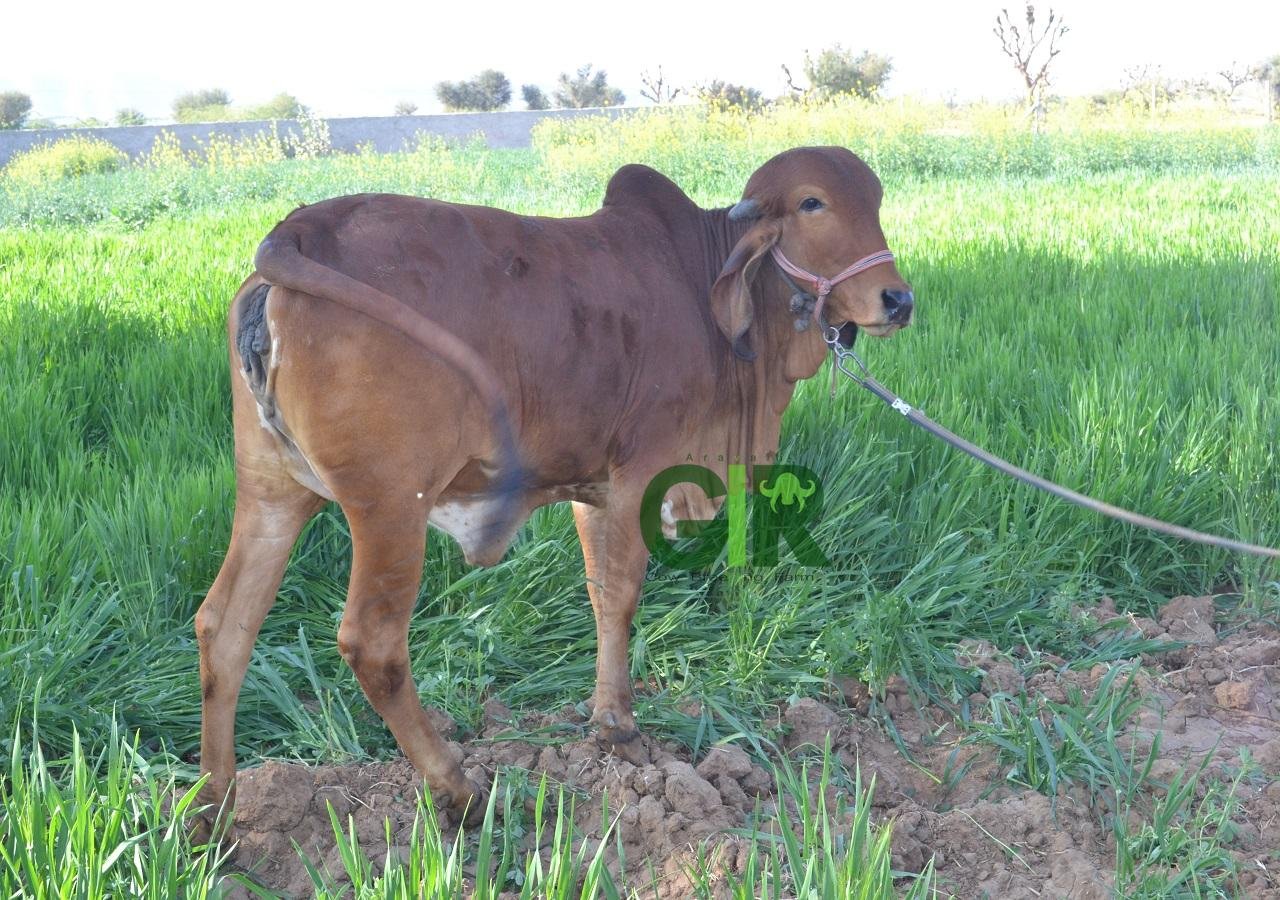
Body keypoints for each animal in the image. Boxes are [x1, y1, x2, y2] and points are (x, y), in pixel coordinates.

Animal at [196, 146, 913, 826]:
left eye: (878, 200)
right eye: (813, 203)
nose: (897, 300)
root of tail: (300, 230)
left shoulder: (591, 488)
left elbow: (600, 596)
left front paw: (605, 719)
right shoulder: (640, 476)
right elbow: (621, 595)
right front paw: (619, 728)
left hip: (272, 489)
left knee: (224, 627)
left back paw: (213, 815)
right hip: (391, 506)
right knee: (373, 645)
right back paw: (460, 791)